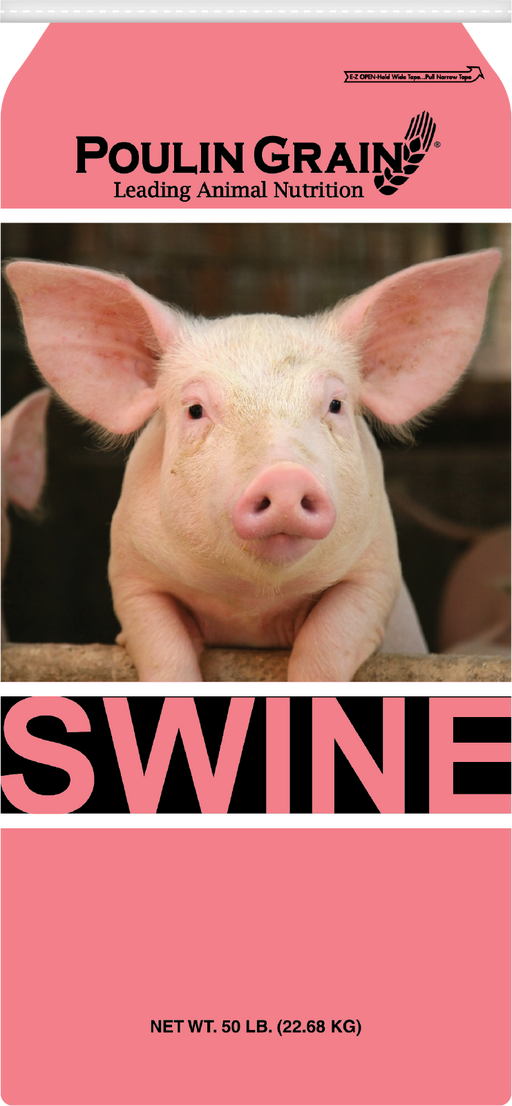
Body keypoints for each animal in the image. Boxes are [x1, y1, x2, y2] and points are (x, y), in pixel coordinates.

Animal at [4, 250, 500, 681]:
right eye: (195, 410)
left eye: (336, 404)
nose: (284, 476)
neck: (253, 604)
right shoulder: (131, 572)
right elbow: (162, 646)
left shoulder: (376, 570)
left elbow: (329, 641)